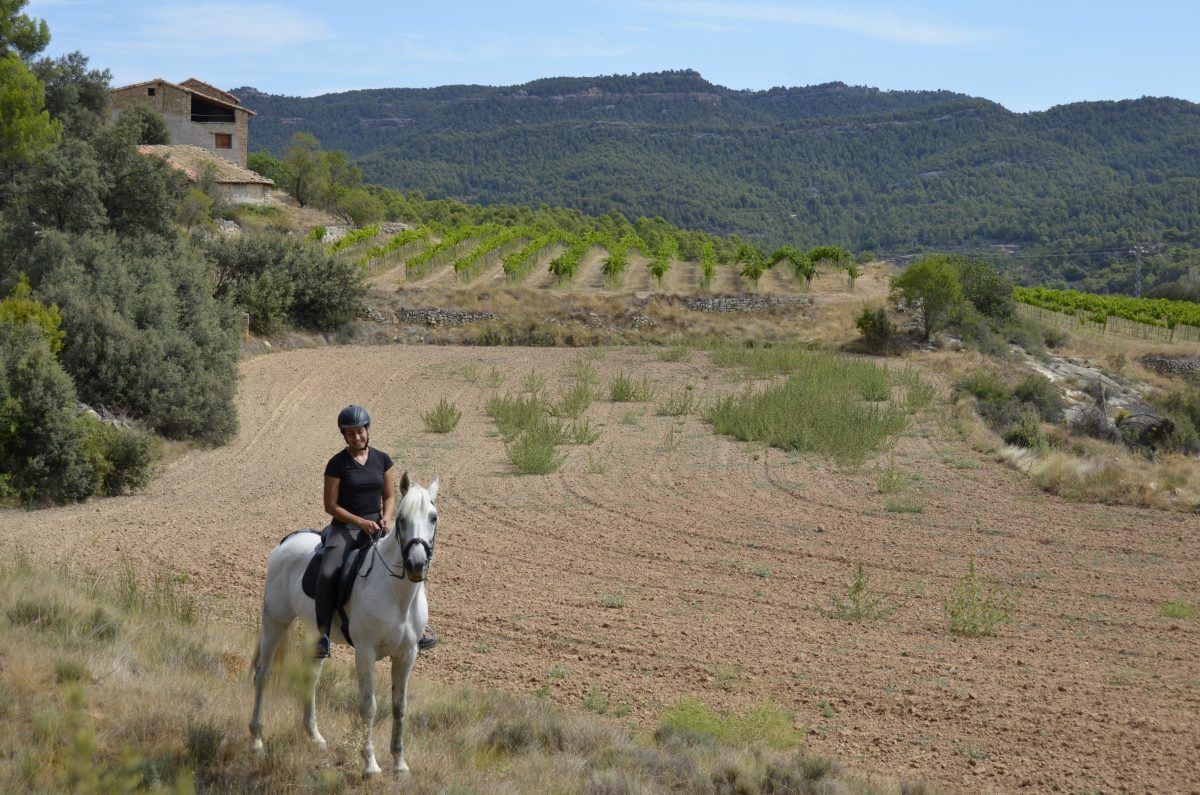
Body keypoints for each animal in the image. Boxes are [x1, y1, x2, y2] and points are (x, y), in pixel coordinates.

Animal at [249, 473, 441, 778]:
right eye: (401, 519)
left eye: (433, 517)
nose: (416, 564)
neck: (396, 593)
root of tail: (286, 542)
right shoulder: (365, 652)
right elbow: (368, 706)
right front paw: (370, 765)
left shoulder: (407, 654)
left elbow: (399, 706)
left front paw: (400, 764)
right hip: (275, 621)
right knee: (263, 674)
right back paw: (256, 741)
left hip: (316, 633)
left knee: (311, 677)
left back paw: (315, 737)